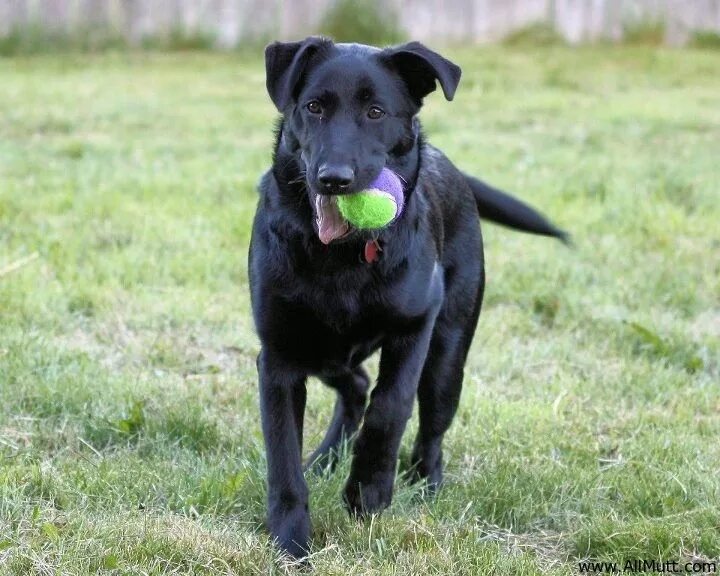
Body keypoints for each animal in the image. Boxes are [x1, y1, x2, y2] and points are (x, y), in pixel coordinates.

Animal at [250, 37, 564, 560]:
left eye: (376, 111)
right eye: (313, 107)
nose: (334, 178)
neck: (342, 256)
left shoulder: (415, 326)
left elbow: (390, 406)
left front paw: (369, 491)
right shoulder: (278, 357)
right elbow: (283, 458)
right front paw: (291, 541)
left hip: (447, 353)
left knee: (429, 420)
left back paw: (424, 482)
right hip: (321, 350)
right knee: (354, 384)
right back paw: (326, 459)